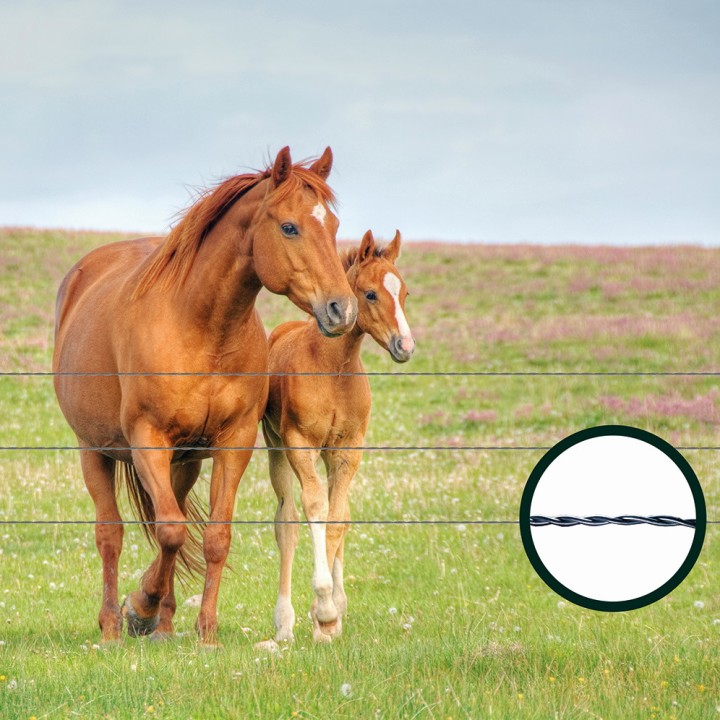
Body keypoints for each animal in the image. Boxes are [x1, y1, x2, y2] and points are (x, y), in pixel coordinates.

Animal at [52, 146, 358, 645]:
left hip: (184, 463)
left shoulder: (233, 442)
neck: (202, 327)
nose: (342, 309)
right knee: (111, 534)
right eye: (289, 227)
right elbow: (172, 532)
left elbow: (212, 537)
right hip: (94, 450)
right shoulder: (147, 440)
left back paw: (164, 624)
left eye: (332, 226)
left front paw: (206, 631)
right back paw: (113, 625)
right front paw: (140, 606)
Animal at [262, 229, 415, 642]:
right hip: (276, 448)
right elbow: (315, 509)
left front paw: (328, 618)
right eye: (371, 294)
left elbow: (338, 518)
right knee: (287, 521)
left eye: (405, 292)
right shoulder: (299, 443)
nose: (405, 346)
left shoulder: (348, 448)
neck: (332, 368)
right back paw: (284, 624)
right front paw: (324, 608)